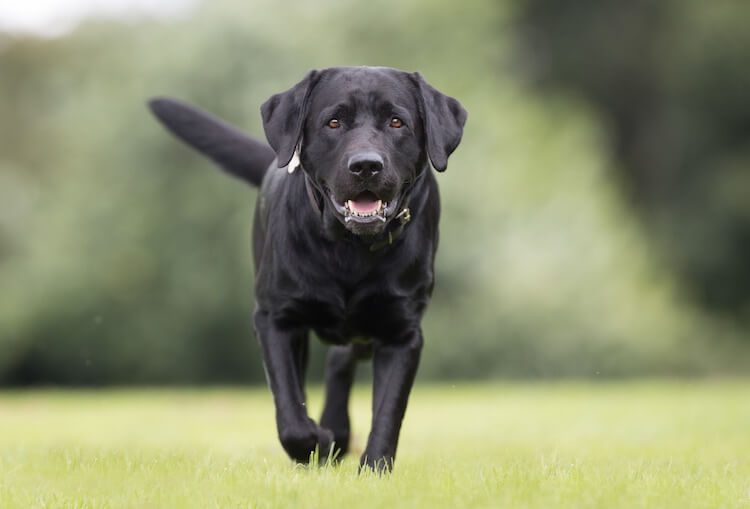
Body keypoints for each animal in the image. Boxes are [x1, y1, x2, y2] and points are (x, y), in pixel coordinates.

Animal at [150, 65, 468, 470]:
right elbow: (290, 412)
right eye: (333, 122)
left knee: (340, 359)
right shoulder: (275, 319)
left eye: (397, 122)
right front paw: (317, 441)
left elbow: (388, 413)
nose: (366, 165)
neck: (350, 249)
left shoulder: (402, 332)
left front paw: (373, 468)